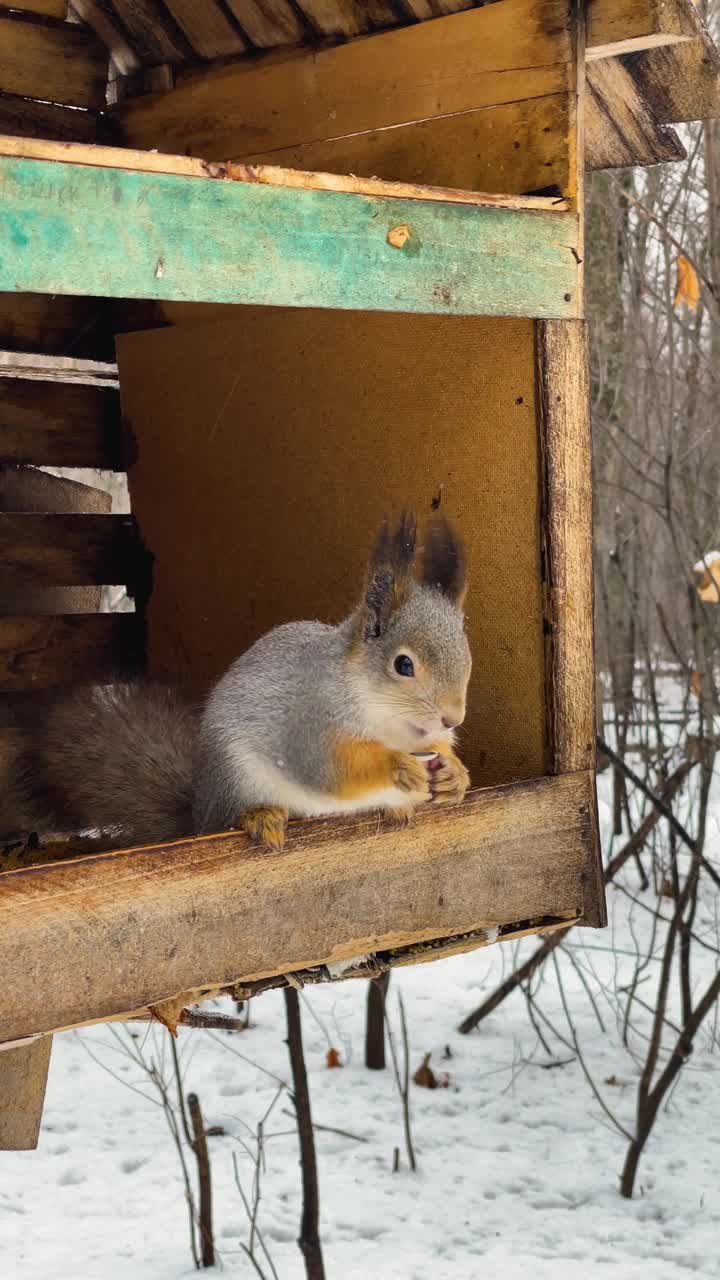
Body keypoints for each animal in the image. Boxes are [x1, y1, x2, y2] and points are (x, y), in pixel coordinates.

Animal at [4, 509, 471, 849]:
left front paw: (454, 774)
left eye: (468, 657)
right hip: (236, 779)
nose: (453, 719)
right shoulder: (307, 722)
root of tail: (199, 812)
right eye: (403, 665)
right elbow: (329, 768)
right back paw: (259, 817)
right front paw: (399, 766)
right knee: (232, 818)